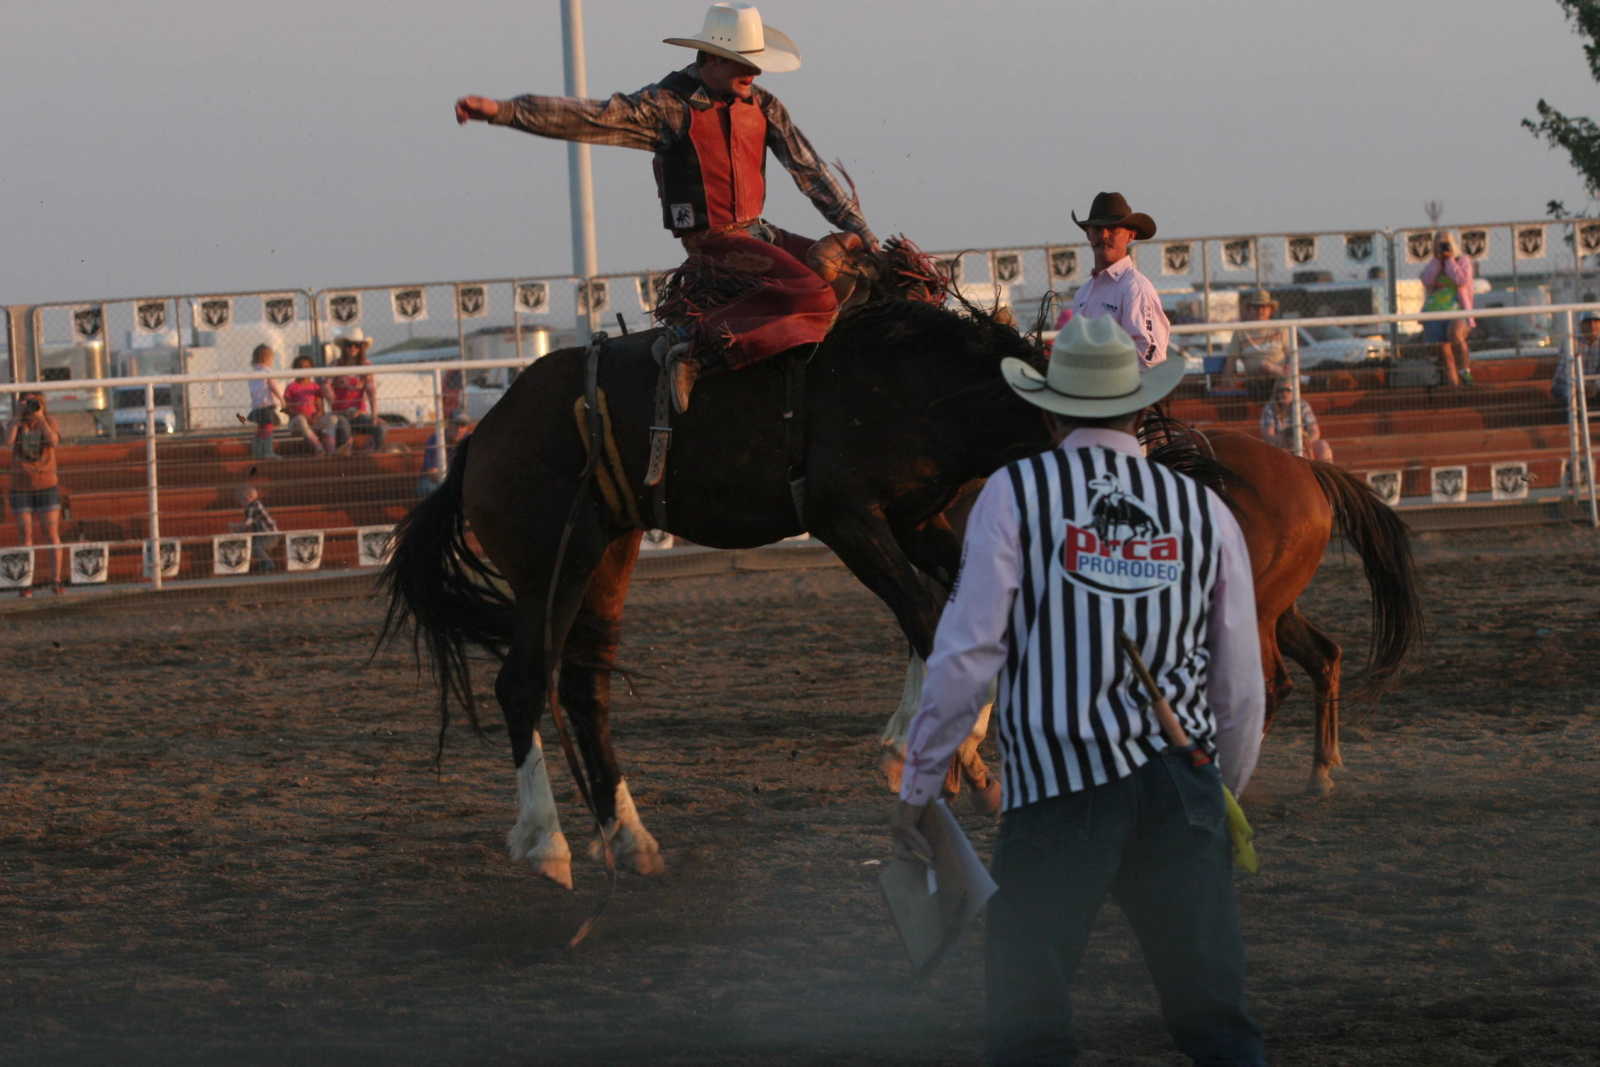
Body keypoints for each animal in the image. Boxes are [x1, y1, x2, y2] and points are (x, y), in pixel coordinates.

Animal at [381, 302, 1421, 888]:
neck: (916, 387)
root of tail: (485, 432)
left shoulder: (924, 524)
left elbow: (957, 623)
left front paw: (962, 756)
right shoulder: (851, 520)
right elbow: (933, 622)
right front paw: (953, 763)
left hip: (609, 552)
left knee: (584, 686)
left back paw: (629, 838)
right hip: (550, 561)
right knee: (525, 681)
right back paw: (548, 844)